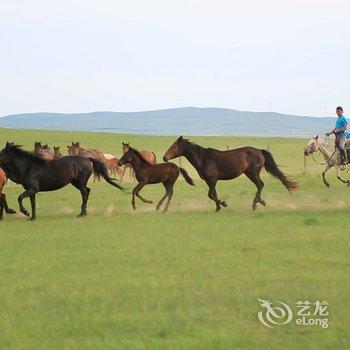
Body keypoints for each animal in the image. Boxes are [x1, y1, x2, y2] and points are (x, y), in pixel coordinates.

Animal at [163, 136, 296, 213]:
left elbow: (210, 195)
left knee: (260, 185)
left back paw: (255, 204)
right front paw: (218, 208)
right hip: (250, 173)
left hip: (252, 173)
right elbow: (214, 194)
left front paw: (224, 204)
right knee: (260, 185)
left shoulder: (213, 180)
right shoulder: (210, 181)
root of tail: (259, 151)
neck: (203, 158)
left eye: (174, 146)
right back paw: (260, 202)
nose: (165, 158)